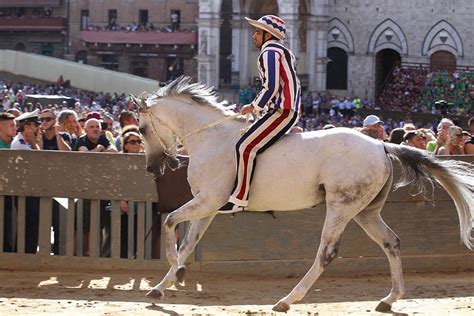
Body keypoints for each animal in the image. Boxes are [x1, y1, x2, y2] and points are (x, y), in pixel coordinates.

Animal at [131, 77, 472, 314]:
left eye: (143, 129)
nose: (152, 166)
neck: (212, 137)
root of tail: (381, 145)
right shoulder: (209, 207)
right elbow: (188, 244)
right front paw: (162, 286)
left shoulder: (207, 201)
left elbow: (170, 224)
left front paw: (178, 274)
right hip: (365, 212)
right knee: (392, 242)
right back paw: (390, 298)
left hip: (340, 208)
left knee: (326, 253)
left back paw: (287, 299)